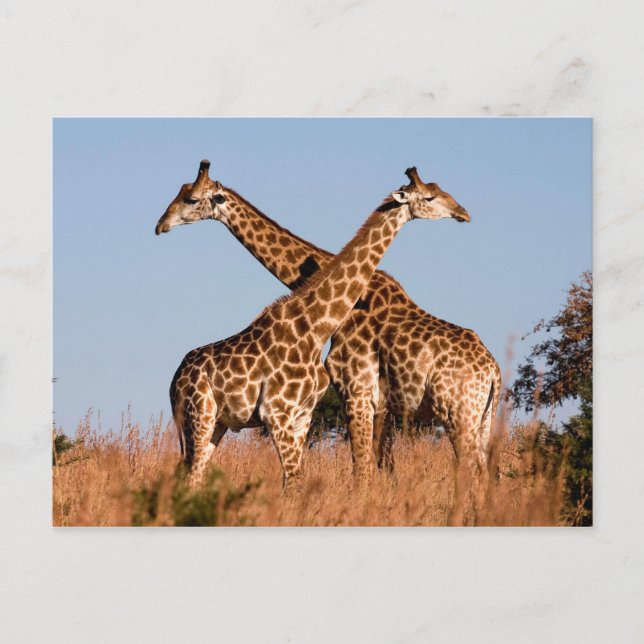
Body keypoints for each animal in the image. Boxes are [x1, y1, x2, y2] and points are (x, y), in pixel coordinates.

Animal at [158, 163, 471, 487]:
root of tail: (176, 378)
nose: (160, 224)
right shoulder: (300, 408)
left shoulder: (318, 408)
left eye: (190, 199)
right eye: (431, 196)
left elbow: (321, 476)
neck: (313, 323)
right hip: (201, 417)